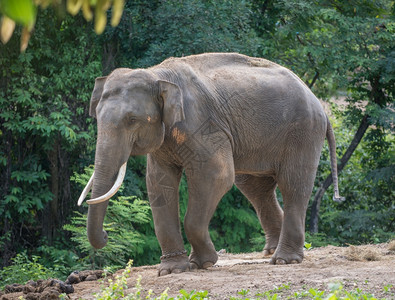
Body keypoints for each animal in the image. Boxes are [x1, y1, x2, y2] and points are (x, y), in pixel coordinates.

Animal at [77, 52, 344, 276]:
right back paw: (270, 252)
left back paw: (284, 260)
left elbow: (217, 176)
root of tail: (319, 103)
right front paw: (172, 270)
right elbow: (159, 183)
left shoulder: (202, 125)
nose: (105, 234)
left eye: (132, 120)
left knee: (293, 185)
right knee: (255, 188)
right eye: (96, 116)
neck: (158, 75)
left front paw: (203, 263)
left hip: (303, 131)